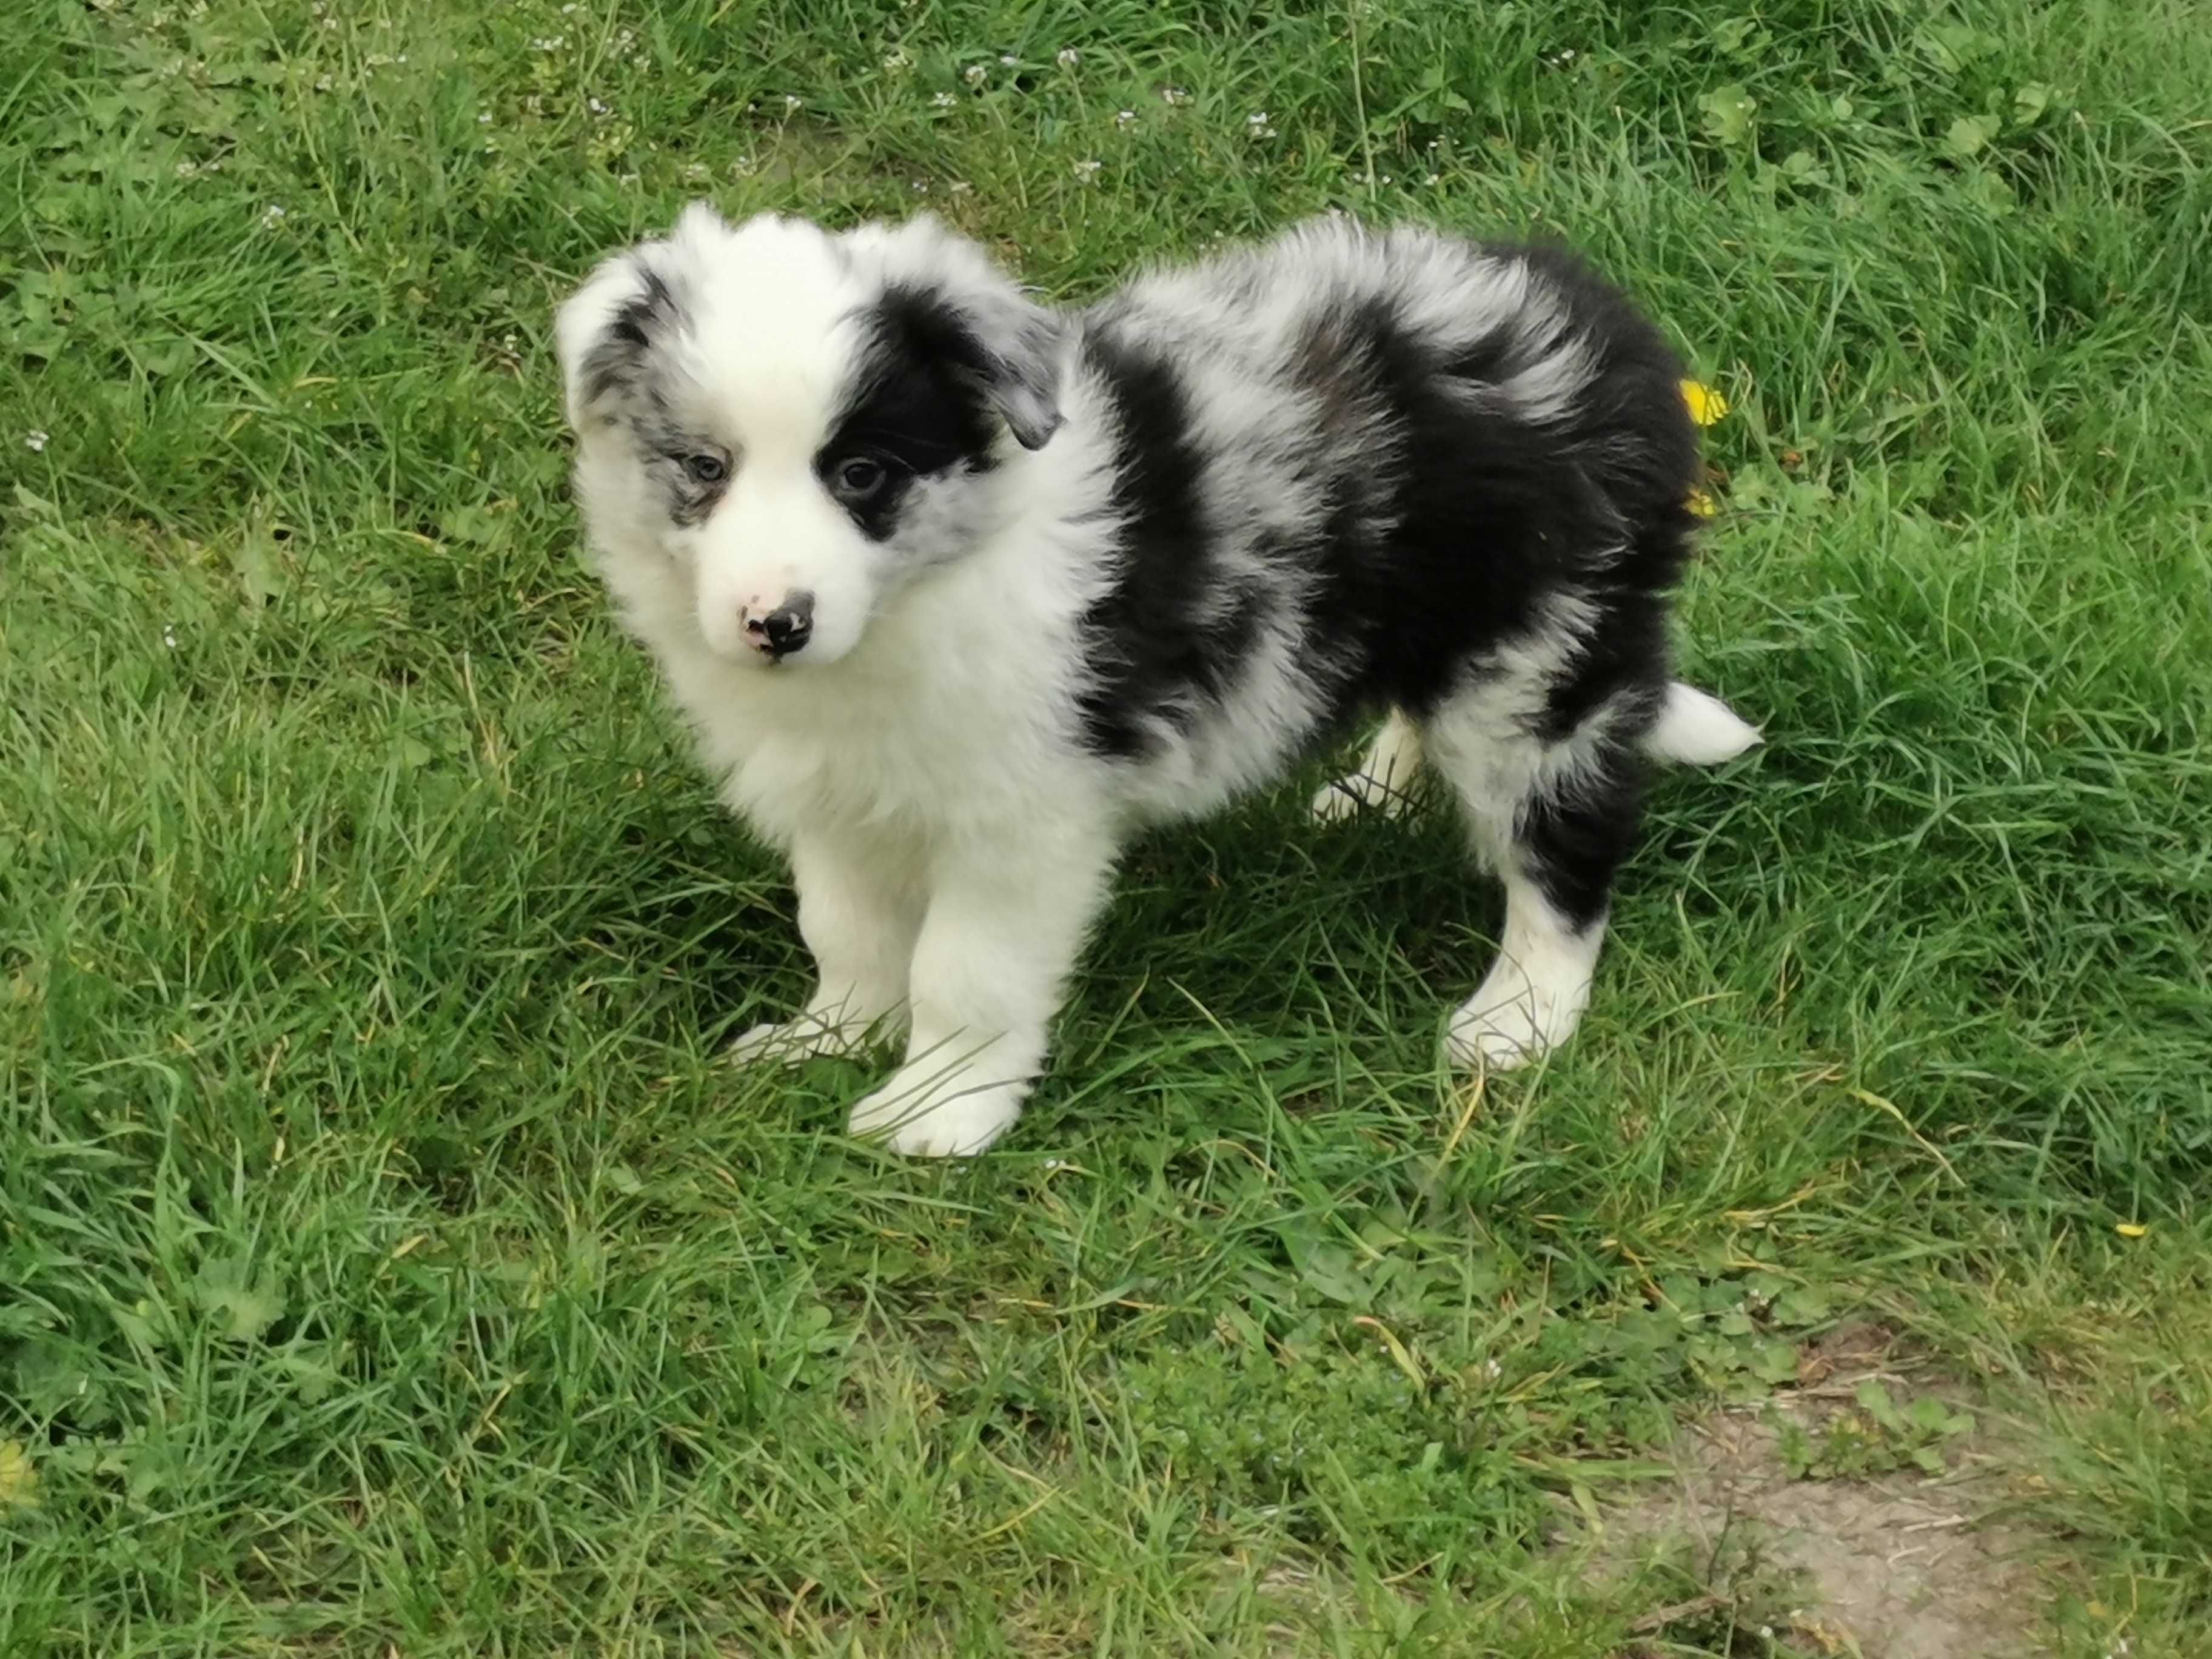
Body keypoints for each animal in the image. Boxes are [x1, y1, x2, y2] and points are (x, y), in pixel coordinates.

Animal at [557, 204, 1760, 1159]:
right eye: (701, 469)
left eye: (860, 474)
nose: (775, 625)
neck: (926, 586)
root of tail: (1607, 328)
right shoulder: (837, 794)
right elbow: (843, 927)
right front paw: (828, 1038)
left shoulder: (1021, 821)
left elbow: (965, 967)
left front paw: (937, 1109)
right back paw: (1376, 793)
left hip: (1536, 657)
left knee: (1562, 847)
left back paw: (1518, 1018)